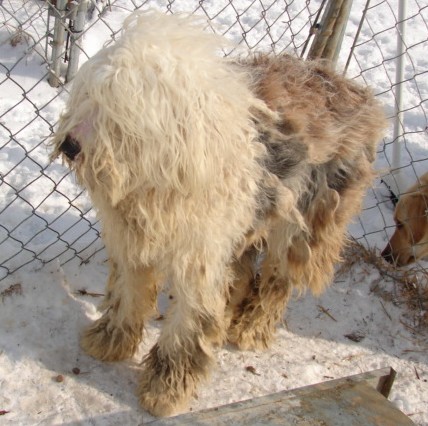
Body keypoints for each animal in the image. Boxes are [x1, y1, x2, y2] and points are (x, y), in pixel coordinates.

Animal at [51, 9, 386, 416]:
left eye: (118, 110)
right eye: (87, 96)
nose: (69, 145)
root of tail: (351, 87)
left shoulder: (197, 259)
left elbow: (186, 326)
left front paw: (166, 390)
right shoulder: (135, 245)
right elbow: (128, 297)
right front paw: (110, 341)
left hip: (302, 222)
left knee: (276, 281)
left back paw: (251, 329)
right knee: (242, 274)